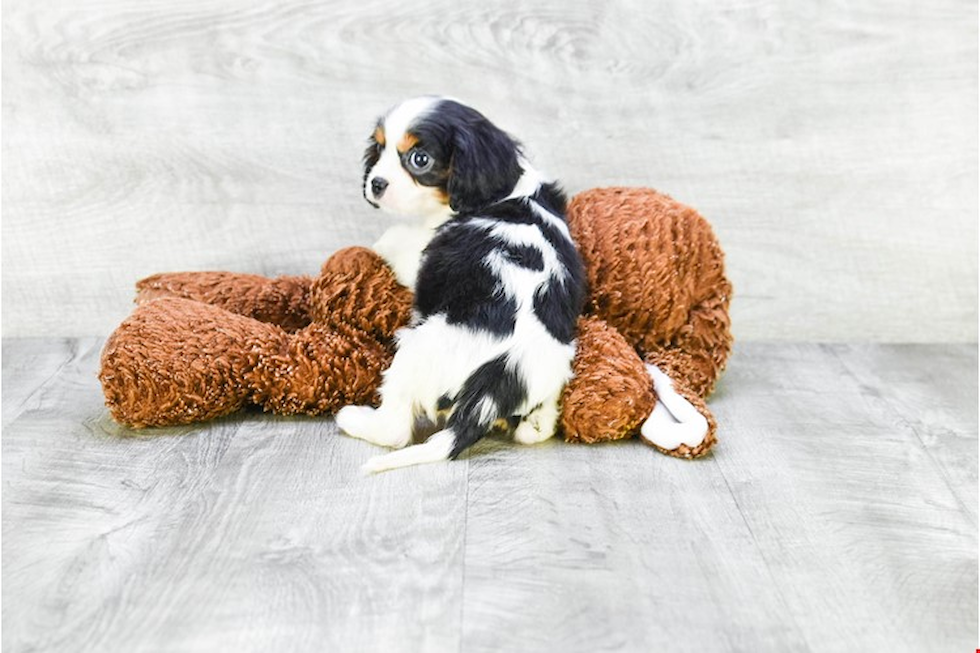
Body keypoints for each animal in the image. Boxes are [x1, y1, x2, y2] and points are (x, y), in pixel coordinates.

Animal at [336, 97, 584, 472]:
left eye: (419, 159)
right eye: (379, 148)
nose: (376, 183)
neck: (507, 189)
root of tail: (496, 380)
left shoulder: (418, 253)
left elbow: (392, 240)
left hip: (413, 352)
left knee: (395, 430)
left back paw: (353, 419)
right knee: (537, 429)